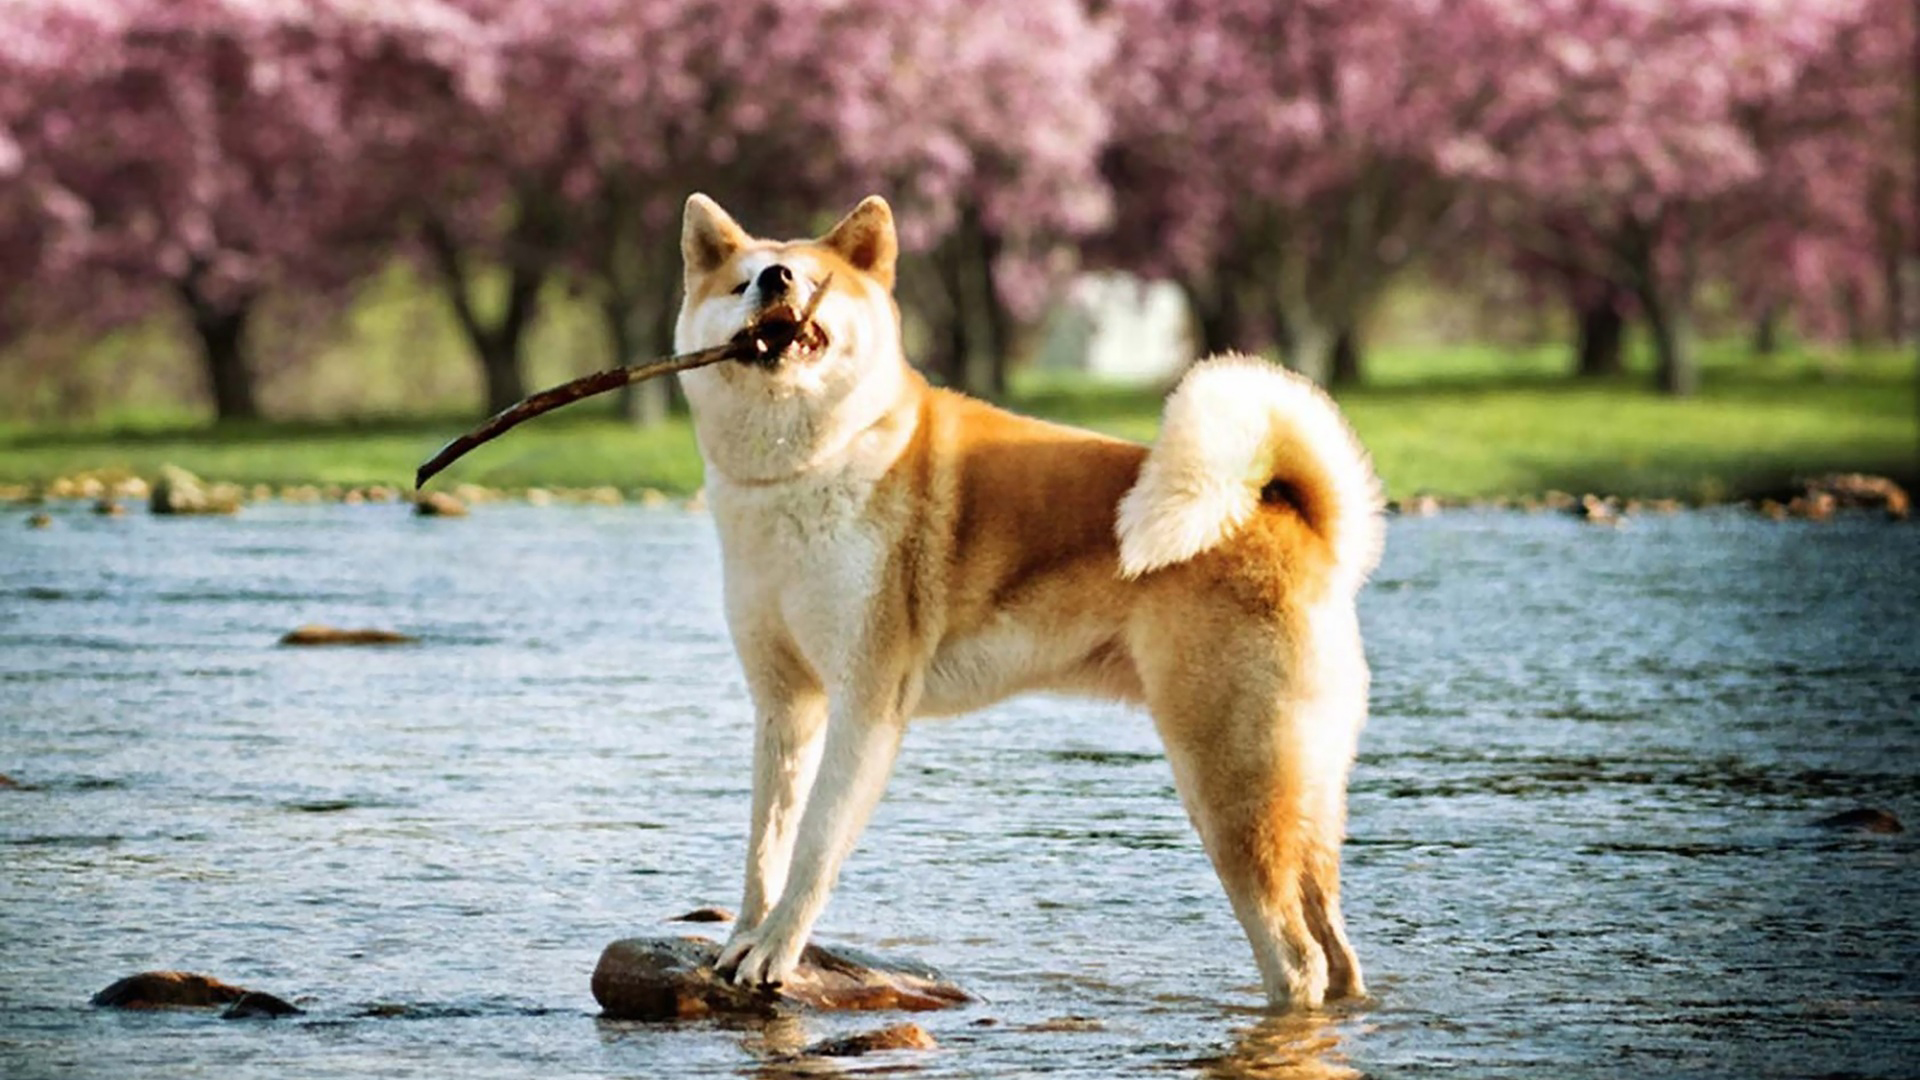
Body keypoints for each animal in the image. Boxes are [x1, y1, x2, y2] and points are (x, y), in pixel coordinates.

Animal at [672, 189, 1382, 1006]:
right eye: (741, 283)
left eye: (813, 279)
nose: (777, 279)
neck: (806, 468)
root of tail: (1292, 515)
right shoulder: (785, 706)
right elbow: (766, 845)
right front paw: (742, 938)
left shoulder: (866, 703)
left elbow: (816, 845)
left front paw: (775, 952)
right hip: (1299, 787)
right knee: (1336, 951)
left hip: (1229, 785)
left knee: (1297, 961)